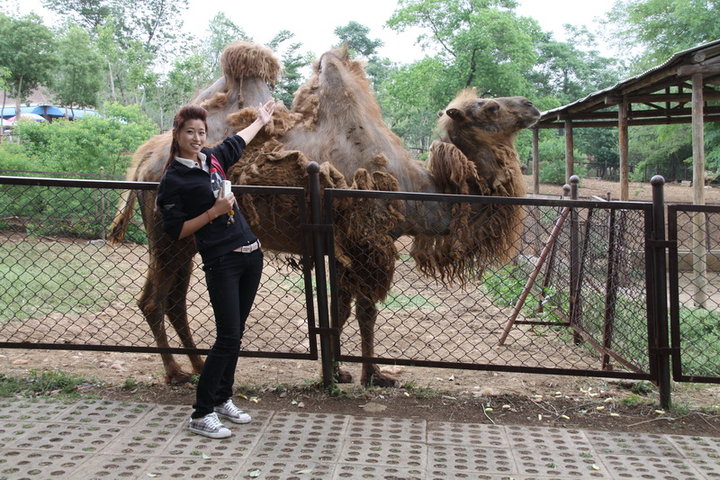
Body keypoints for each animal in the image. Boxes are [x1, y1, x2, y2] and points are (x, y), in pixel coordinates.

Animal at [108, 40, 540, 386]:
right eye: (490, 107)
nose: (531, 105)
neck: (414, 189)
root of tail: (145, 157)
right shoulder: (367, 241)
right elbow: (363, 312)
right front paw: (371, 375)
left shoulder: (343, 245)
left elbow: (341, 312)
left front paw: (341, 371)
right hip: (167, 235)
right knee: (153, 301)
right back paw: (176, 372)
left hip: (187, 241)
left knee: (173, 301)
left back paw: (197, 366)